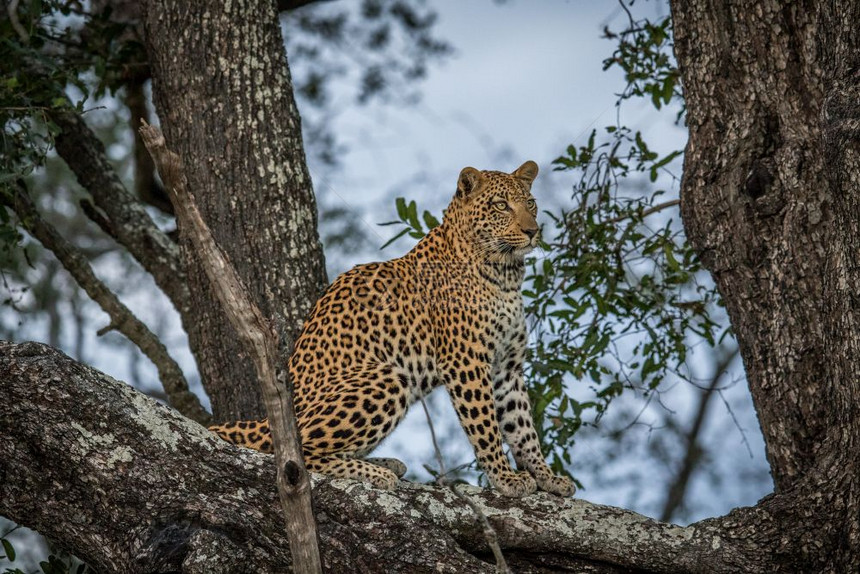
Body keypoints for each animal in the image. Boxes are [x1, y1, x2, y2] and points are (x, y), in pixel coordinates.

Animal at [207, 161, 576, 500]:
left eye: (530, 203)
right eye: (501, 205)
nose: (533, 231)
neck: (506, 273)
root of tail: (263, 420)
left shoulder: (506, 366)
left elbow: (522, 426)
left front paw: (548, 477)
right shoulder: (466, 360)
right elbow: (485, 424)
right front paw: (505, 477)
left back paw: (384, 463)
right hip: (387, 378)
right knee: (293, 457)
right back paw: (374, 472)